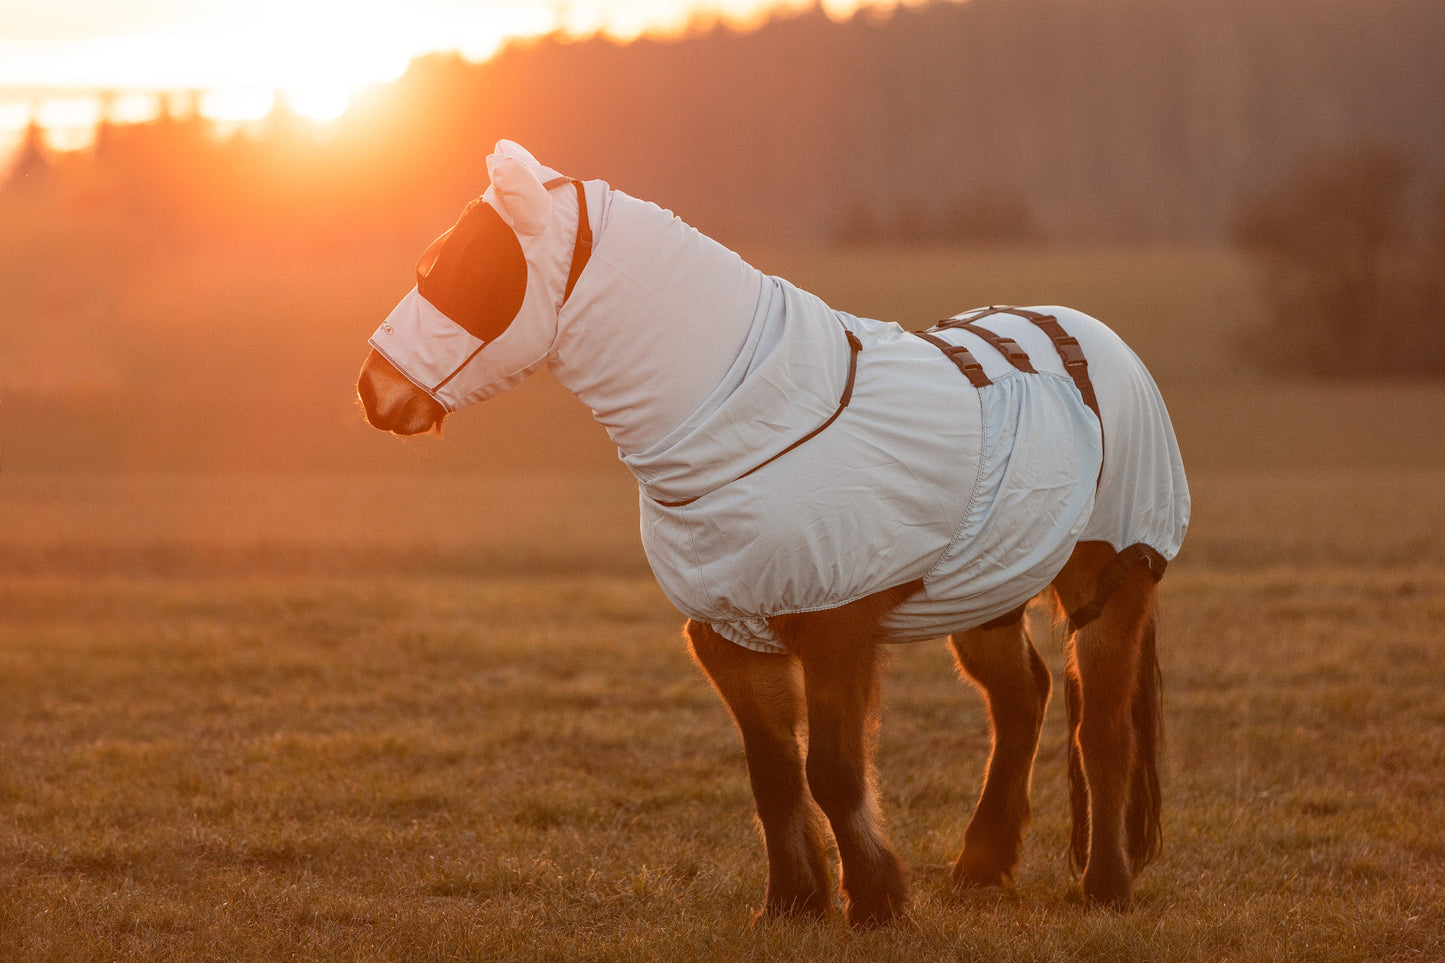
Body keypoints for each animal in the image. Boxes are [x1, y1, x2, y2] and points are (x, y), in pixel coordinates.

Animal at [352, 142, 1184, 925]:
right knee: (1022, 699)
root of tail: (1092, 338)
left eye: (463, 268)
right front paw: (793, 900)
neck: (749, 412)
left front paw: (875, 900)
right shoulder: (728, 630)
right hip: (986, 594)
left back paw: (1105, 885)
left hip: (1110, 582)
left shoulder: (833, 624)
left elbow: (833, 771)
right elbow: (774, 772)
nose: (371, 391)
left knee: (1101, 731)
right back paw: (981, 862)